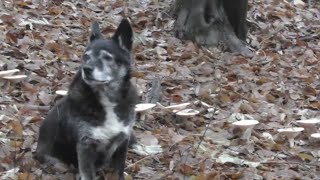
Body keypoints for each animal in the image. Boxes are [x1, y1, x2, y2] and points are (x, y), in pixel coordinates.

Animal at [34, 18, 138, 180]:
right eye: (86, 56)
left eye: (107, 57)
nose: (87, 69)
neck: (107, 101)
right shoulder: (86, 146)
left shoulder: (122, 142)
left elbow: (118, 171)